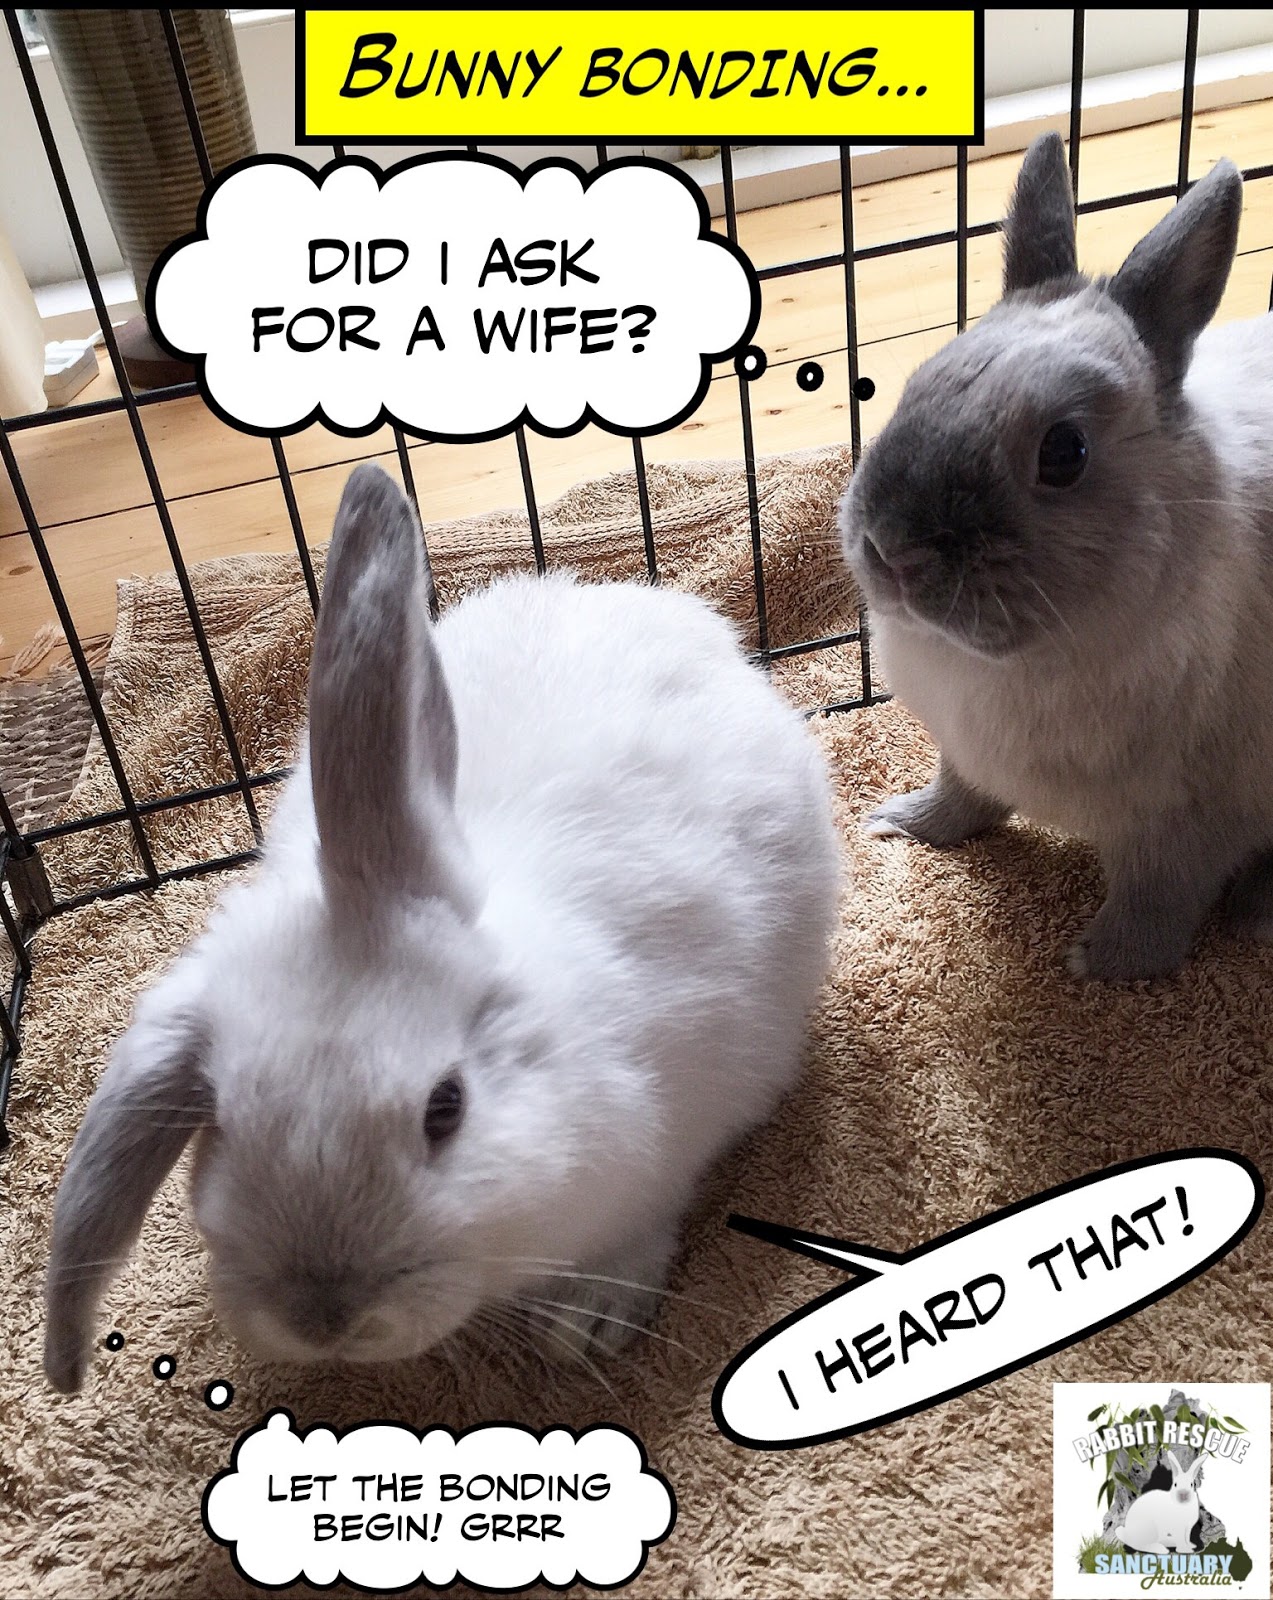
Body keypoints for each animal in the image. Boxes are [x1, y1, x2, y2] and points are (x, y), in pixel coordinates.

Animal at [838, 130, 1273, 981]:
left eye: (1064, 453)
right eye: (916, 387)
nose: (893, 551)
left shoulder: (1188, 823)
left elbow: (1156, 902)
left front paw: (1099, 967)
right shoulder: (964, 753)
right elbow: (963, 798)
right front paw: (904, 822)